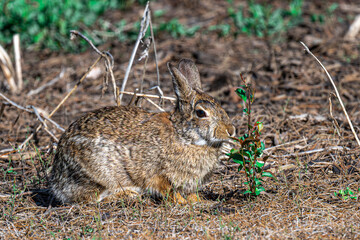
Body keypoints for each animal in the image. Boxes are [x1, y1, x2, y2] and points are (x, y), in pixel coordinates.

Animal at [50, 59, 236, 203]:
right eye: (201, 113)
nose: (231, 130)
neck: (184, 136)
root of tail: (57, 179)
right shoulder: (157, 175)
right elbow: (168, 190)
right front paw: (182, 202)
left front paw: (198, 201)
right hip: (97, 176)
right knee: (92, 198)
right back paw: (127, 194)